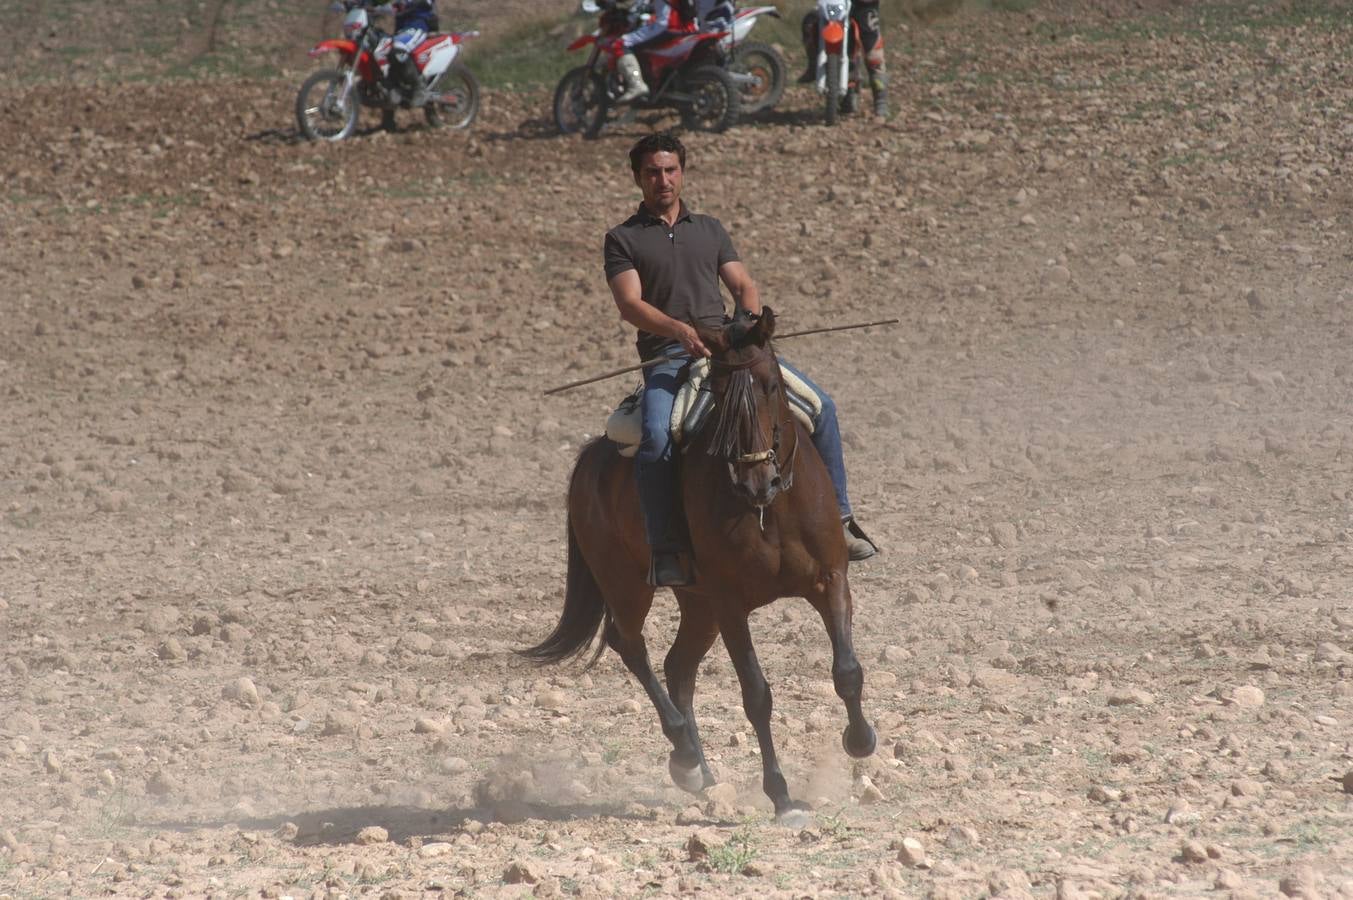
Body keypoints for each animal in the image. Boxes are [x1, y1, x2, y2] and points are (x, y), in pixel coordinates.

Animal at [522, 308, 871, 822]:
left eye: (771, 386)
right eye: (721, 394)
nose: (756, 481)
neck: (769, 510)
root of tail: (591, 458)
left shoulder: (830, 581)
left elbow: (847, 670)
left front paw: (861, 741)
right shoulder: (730, 606)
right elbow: (757, 696)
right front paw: (782, 796)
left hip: (698, 603)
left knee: (678, 666)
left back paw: (700, 772)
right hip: (628, 585)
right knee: (631, 647)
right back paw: (685, 755)